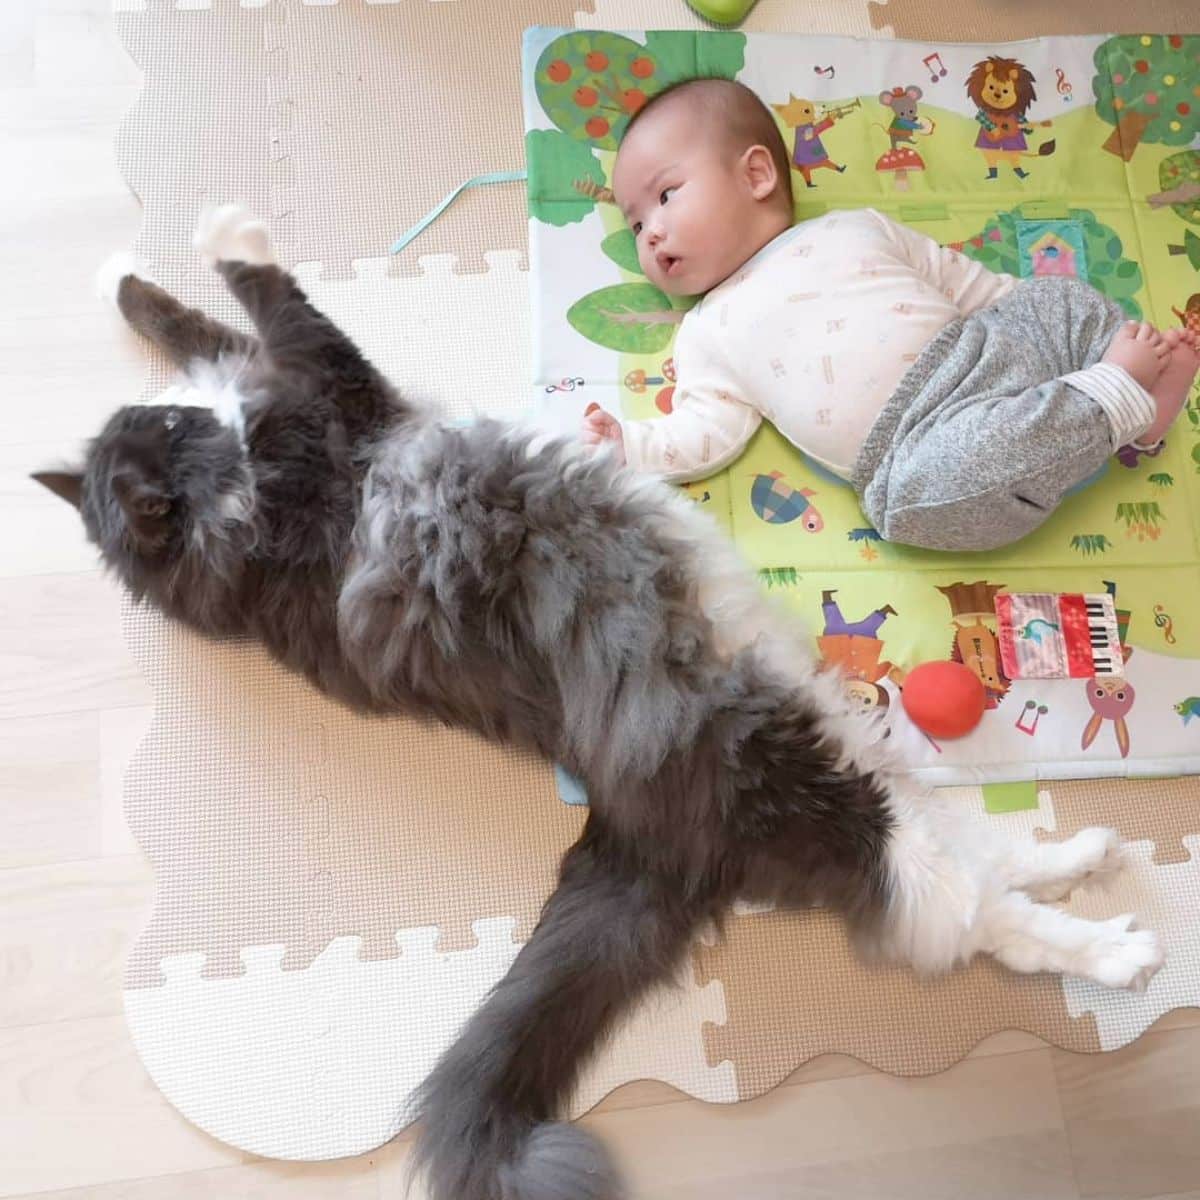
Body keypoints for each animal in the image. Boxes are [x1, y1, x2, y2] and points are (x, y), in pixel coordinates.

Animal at [39, 208, 1161, 1200]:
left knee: (988, 857)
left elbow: (195, 321)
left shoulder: (279, 388)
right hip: (829, 792)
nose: (190, 421)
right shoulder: (332, 397)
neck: (231, 535)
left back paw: (1083, 852)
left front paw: (118, 277)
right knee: (970, 917)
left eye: (165, 423)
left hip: (856, 757)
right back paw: (1121, 947)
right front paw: (232, 229)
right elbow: (278, 298)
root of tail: (633, 824)